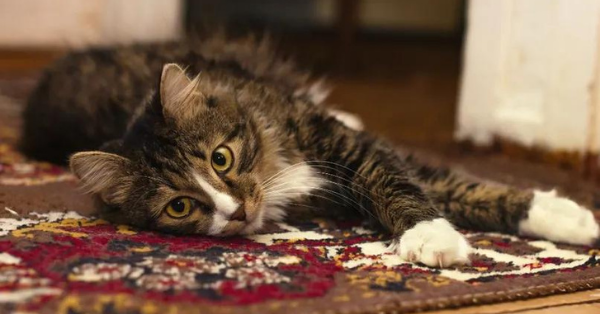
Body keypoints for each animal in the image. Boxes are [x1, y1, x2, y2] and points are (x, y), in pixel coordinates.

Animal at [21, 35, 596, 268]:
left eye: (221, 158)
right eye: (179, 206)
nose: (237, 212)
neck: (273, 165)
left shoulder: (353, 149)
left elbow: (435, 182)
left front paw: (569, 217)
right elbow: (440, 186)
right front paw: (435, 237)